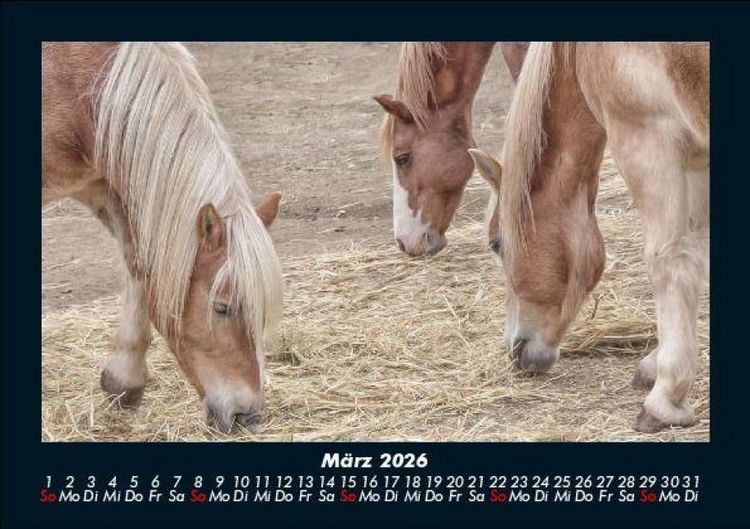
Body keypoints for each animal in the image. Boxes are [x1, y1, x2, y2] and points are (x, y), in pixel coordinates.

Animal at [42, 42, 284, 433]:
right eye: (221, 307)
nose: (247, 415)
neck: (75, 80)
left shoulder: (104, 185)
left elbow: (139, 264)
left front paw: (124, 380)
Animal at [469, 42, 709, 432]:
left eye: (496, 243)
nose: (516, 350)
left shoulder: (648, 140)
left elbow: (671, 262)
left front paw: (665, 397)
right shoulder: (697, 159)